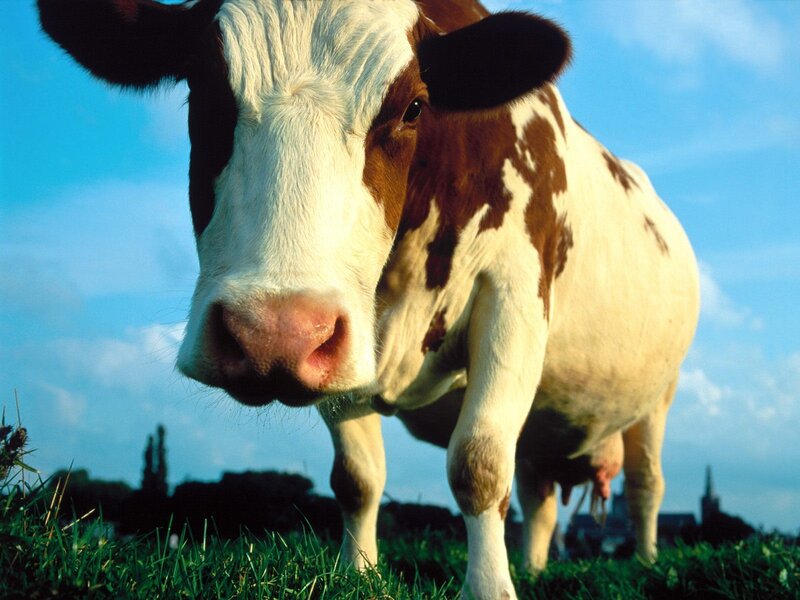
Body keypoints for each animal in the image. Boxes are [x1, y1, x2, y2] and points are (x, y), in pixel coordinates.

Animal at [37, 0, 700, 597]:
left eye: (413, 107)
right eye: (202, 93)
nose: (271, 334)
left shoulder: (514, 295)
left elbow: (479, 461)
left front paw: (489, 588)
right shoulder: (343, 341)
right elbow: (358, 476)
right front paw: (358, 572)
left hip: (660, 397)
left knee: (646, 484)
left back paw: (644, 561)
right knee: (537, 492)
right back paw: (535, 567)